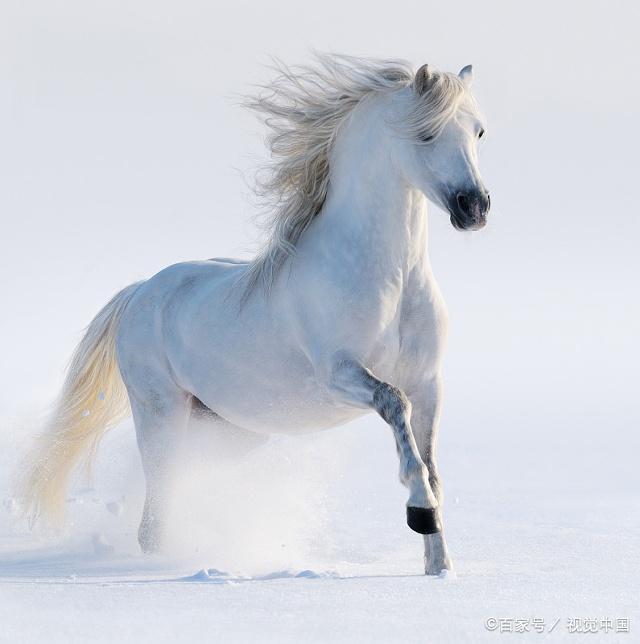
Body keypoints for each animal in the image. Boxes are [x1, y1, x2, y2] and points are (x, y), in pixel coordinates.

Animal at [21, 55, 490, 576]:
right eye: (426, 134)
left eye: (478, 131)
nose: (475, 207)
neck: (393, 280)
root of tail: (141, 291)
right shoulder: (340, 373)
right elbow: (395, 408)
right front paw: (420, 513)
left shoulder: (429, 383)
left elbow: (431, 463)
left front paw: (440, 565)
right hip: (160, 413)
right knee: (154, 516)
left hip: (229, 429)